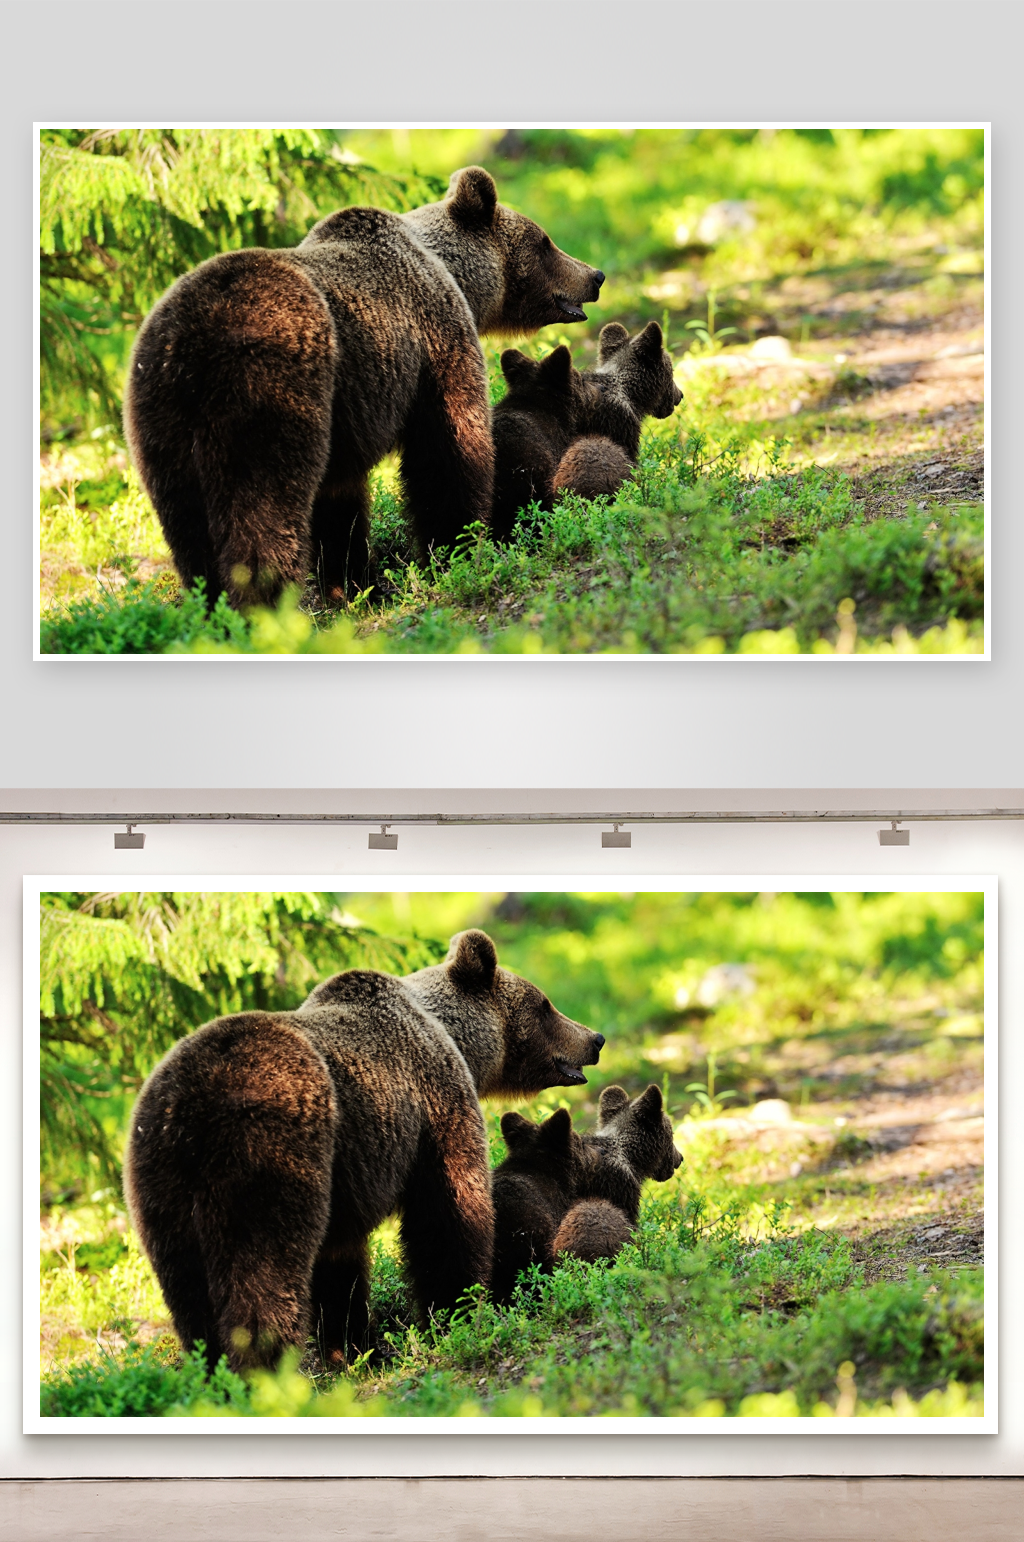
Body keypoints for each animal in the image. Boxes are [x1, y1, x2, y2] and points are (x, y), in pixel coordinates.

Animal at [123, 167, 604, 609]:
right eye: (544, 242)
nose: (595, 275)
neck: (456, 276)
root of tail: (195, 343)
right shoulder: (435, 340)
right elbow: (448, 453)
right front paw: (457, 549)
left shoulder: (349, 412)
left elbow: (341, 501)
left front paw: (355, 585)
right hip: (268, 394)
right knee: (261, 511)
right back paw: (266, 608)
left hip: (161, 420)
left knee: (188, 526)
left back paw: (216, 609)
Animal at [123, 929, 605, 1373]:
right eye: (544, 1005)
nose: (595, 1037)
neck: (455, 1038)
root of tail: (195, 1105)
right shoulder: (434, 1102)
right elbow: (448, 1216)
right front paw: (457, 1312)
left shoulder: (349, 1175)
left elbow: (341, 1264)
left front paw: (355, 1348)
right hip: (268, 1156)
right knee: (261, 1274)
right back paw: (267, 1371)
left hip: (161, 1182)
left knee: (188, 1290)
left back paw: (216, 1373)